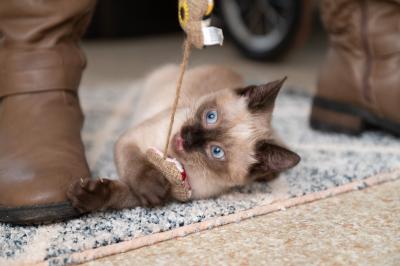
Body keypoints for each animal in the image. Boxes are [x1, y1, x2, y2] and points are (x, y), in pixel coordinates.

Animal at [68, 64, 300, 212]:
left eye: (216, 152)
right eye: (211, 116)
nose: (189, 137)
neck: (172, 158)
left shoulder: (171, 193)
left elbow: (126, 192)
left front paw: (89, 198)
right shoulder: (131, 139)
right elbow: (137, 167)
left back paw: (268, 175)